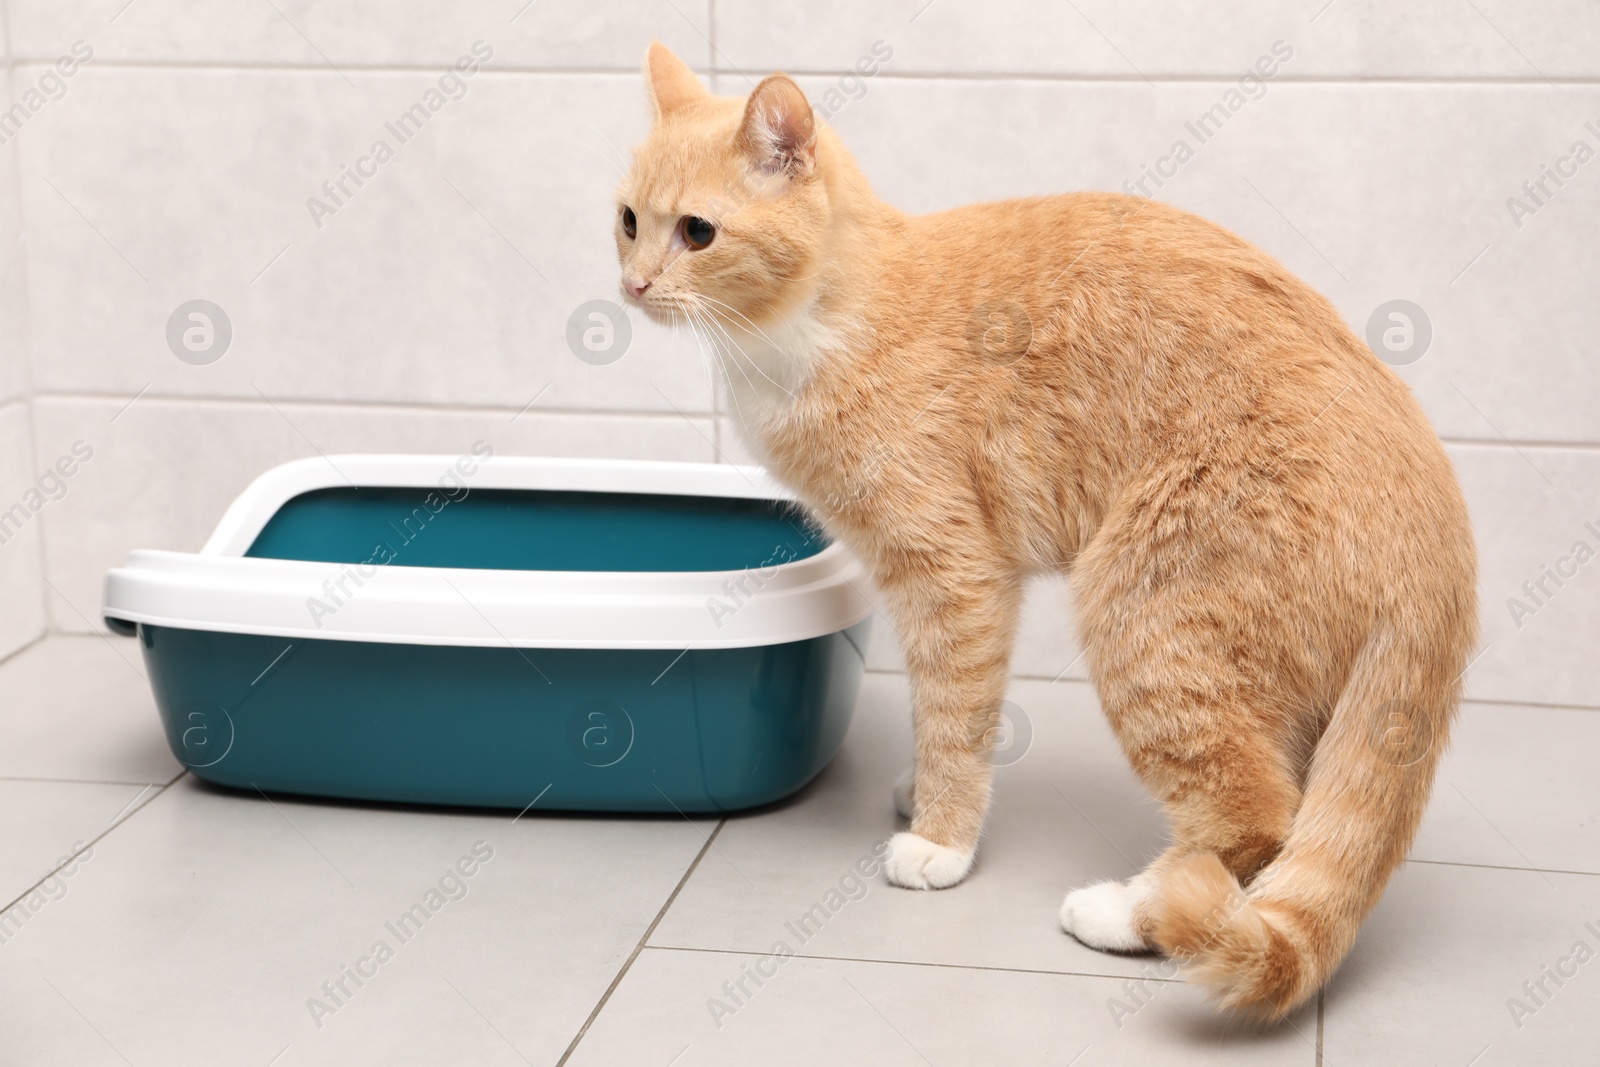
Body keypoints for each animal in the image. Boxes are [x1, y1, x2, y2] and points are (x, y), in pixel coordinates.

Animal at [611, 45, 1472, 1023]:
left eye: (698, 233)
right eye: (629, 221)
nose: (633, 285)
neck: (822, 317)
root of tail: (1441, 544)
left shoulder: (956, 574)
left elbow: (953, 709)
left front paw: (941, 838)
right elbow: (943, 714)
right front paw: (925, 794)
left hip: (1145, 611)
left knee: (1260, 816)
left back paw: (1129, 911)